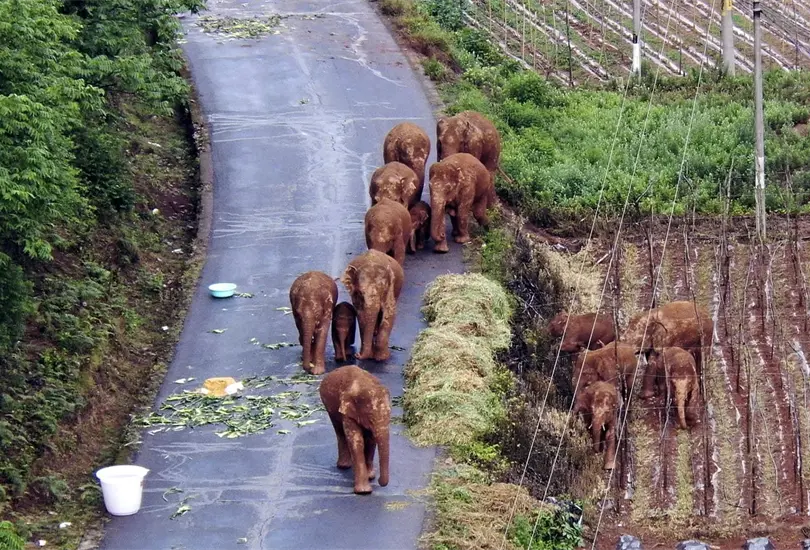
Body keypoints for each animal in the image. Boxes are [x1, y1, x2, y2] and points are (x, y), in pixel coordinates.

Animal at [319, 365, 391, 494]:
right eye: (371, 418)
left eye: (390, 415)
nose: (378, 480)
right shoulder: (347, 411)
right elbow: (357, 441)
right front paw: (363, 491)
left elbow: (370, 441)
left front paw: (370, 476)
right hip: (328, 405)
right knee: (339, 431)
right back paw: (344, 466)